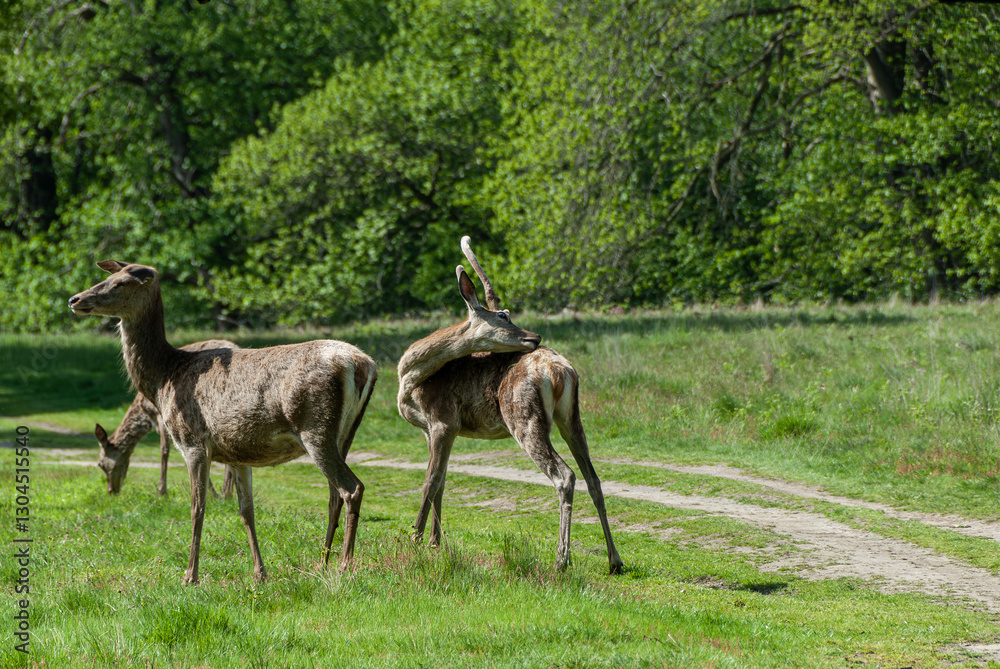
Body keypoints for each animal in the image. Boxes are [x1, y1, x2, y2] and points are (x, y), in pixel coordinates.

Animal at [95, 340, 238, 497]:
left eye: (100, 464)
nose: (111, 491)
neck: (146, 413)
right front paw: (211, 492)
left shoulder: (162, 417)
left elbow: (164, 451)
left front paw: (162, 491)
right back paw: (227, 492)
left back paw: (227, 492)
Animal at [397, 237, 624, 575]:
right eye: (503, 315)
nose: (534, 336)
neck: (410, 379)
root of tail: (561, 371)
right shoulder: (430, 429)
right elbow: (442, 480)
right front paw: (436, 542)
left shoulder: (443, 420)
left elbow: (430, 481)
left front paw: (416, 540)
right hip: (571, 416)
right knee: (593, 478)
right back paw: (614, 560)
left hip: (523, 418)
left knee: (565, 475)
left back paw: (562, 559)